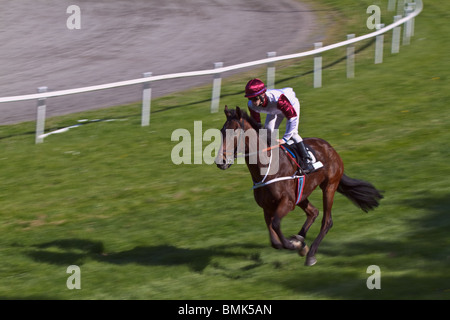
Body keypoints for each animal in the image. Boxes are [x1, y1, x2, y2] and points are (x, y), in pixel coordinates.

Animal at [215, 106, 384, 266]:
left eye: (235, 132)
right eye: (222, 131)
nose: (220, 161)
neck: (267, 167)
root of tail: (329, 147)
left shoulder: (288, 202)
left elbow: (276, 225)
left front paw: (295, 245)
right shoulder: (267, 207)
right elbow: (275, 241)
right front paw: (298, 243)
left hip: (329, 186)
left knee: (326, 221)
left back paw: (311, 254)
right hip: (302, 194)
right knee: (313, 212)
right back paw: (301, 239)